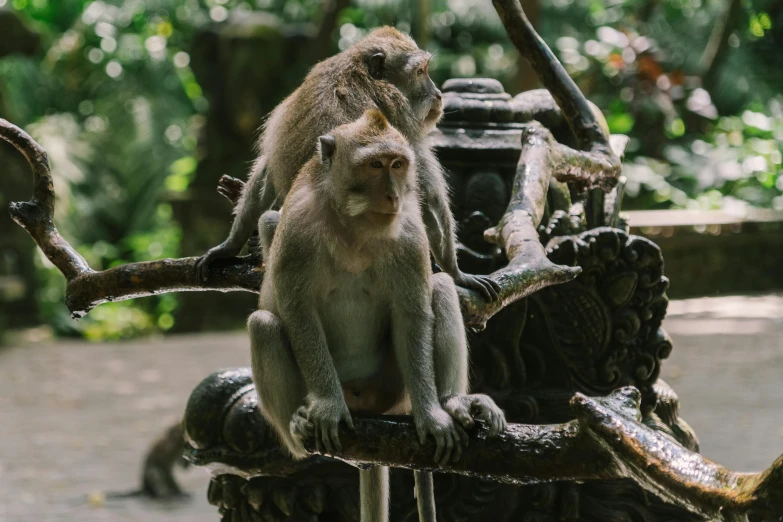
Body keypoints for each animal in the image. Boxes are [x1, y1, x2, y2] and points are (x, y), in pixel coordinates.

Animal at [251, 108, 508, 516]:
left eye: (398, 164)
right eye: (374, 165)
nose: (393, 194)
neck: (354, 227)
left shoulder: (410, 236)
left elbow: (412, 315)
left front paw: (432, 416)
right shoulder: (296, 231)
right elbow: (298, 312)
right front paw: (327, 407)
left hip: (391, 387)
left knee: (439, 289)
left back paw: (454, 402)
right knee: (263, 326)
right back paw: (298, 423)